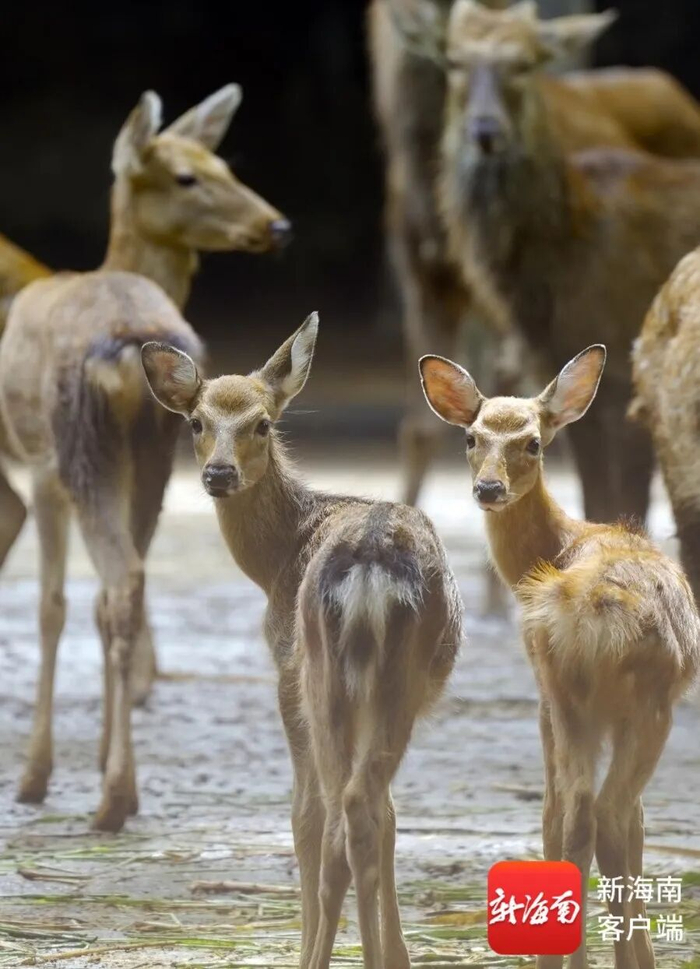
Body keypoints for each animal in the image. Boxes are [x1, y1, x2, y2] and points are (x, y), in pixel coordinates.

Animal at [0, 86, 288, 832]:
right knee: (125, 582)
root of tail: (127, 352)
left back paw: (109, 796)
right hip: (158, 451)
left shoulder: (45, 464)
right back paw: (117, 784)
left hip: (81, 447)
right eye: (187, 176)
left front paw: (38, 777)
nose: (276, 225)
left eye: (224, 162)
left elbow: (52, 604)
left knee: (112, 576)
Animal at [141, 312, 463, 969]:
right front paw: (397, 952)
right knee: (366, 809)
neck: (276, 559)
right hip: (384, 685)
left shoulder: (284, 671)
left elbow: (303, 815)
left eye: (262, 423)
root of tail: (370, 566)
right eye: (196, 421)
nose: (218, 473)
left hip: (326, 675)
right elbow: (390, 817)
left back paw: (321, 954)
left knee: (339, 816)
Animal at [420, 345, 700, 969]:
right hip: (627, 705)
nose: (488, 488)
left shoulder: (550, 696)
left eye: (533, 442)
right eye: (471, 437)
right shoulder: (557, 699)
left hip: (589, 699)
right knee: (599, 813)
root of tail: (600, 612)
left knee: (588, 812)